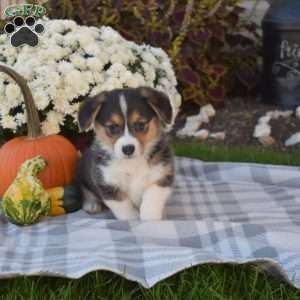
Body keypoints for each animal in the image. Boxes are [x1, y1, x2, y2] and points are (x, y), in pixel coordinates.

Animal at [74, 86, 173, 220]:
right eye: (112, 127)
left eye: (140, 124)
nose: (128, 149)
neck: (132, 164)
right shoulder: (108, 183)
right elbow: (124, 207)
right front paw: (133, 218)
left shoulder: (161, 176)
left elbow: (152, 197)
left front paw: (150, 218)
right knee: (86, 191)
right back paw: (92, 204)